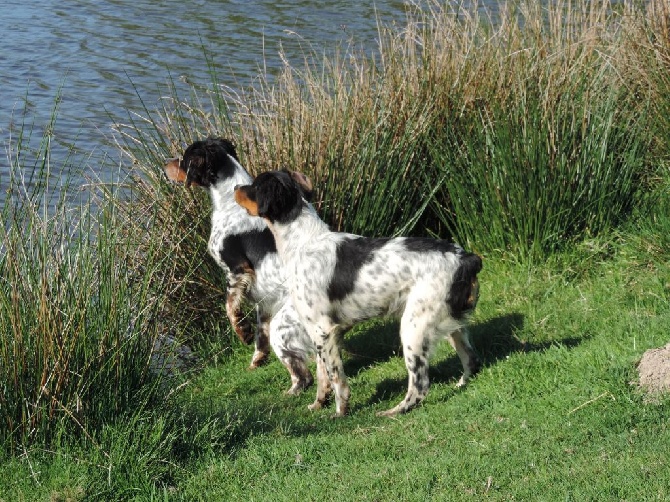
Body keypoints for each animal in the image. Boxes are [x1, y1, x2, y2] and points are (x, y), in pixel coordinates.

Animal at [164, 139, 314, 394]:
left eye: (184, 158)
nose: (165, 163)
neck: (229, 203)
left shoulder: (237, 270)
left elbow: (230, 309)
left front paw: (242, 333)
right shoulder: (264, 300)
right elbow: (260, 335)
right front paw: (257, 361)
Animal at [236, 171, 484, 418]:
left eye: (254, 186)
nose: (236, 187)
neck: (304, 243)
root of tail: (467, 258)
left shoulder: (324, 331)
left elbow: (336, 377)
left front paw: (340, 411)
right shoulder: (316, 332)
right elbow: (322, 376)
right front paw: (318, 404)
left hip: (414, 328)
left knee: (420, 386)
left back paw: (392, 412)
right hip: (452, 324)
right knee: (472, 360)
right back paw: (461, 384)